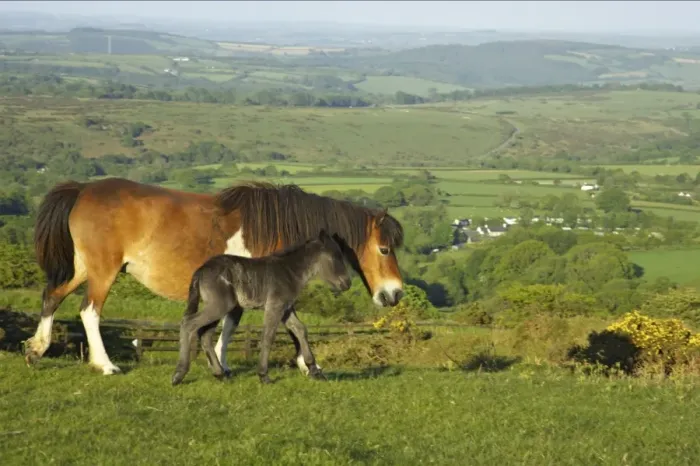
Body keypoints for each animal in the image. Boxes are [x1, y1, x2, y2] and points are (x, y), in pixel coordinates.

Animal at [172, 229, 352, 386]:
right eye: (335, 257)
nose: (347, 283)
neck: (290, 271)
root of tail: (201, 270)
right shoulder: (275, 306)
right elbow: (268, 336)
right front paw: (263, 375)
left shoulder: (286, 309)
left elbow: (300, 330)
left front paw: (314, 369)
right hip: (220, 306)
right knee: (188, 323)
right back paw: (179, 374)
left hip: (219, 307)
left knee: (205, 334)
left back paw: (219, 373)